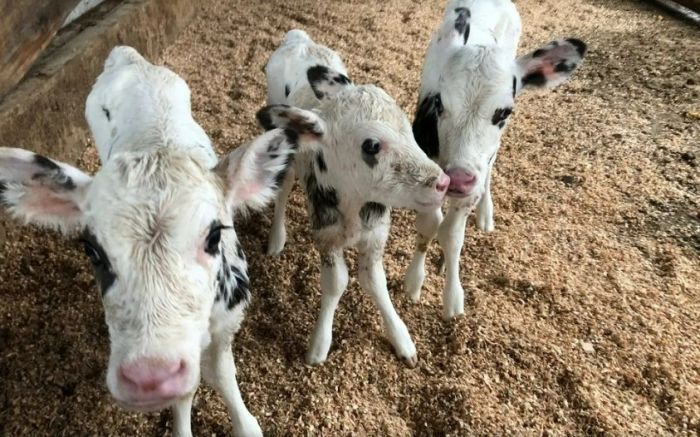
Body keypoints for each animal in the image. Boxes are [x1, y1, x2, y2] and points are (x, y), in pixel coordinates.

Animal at [0, 45, 322, 436]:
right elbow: (187, 391)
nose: (148, 377)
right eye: (92, 249)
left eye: (214, 236)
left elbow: (222, 374)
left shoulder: (227, 321)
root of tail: (129, 58)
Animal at [258, 29, 448, 364]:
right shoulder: (326, 235)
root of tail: (299, 38)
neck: (354, 206)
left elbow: (374, 281)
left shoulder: (376, 233)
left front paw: (401, 338)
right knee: (282, 192)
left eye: (408, 130)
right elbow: (336, 283)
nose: (443, 182)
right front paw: (319, 345)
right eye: (371, 146)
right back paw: (276, 239)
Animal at [404, 0, 584, 320]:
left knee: (489, 168)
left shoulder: (470, 181)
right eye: (439, 103)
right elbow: (428, 225)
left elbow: (451, 234)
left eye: (504, 112)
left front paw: (452, 298)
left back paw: (485, 212)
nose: (459, 178)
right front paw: (414, 282)